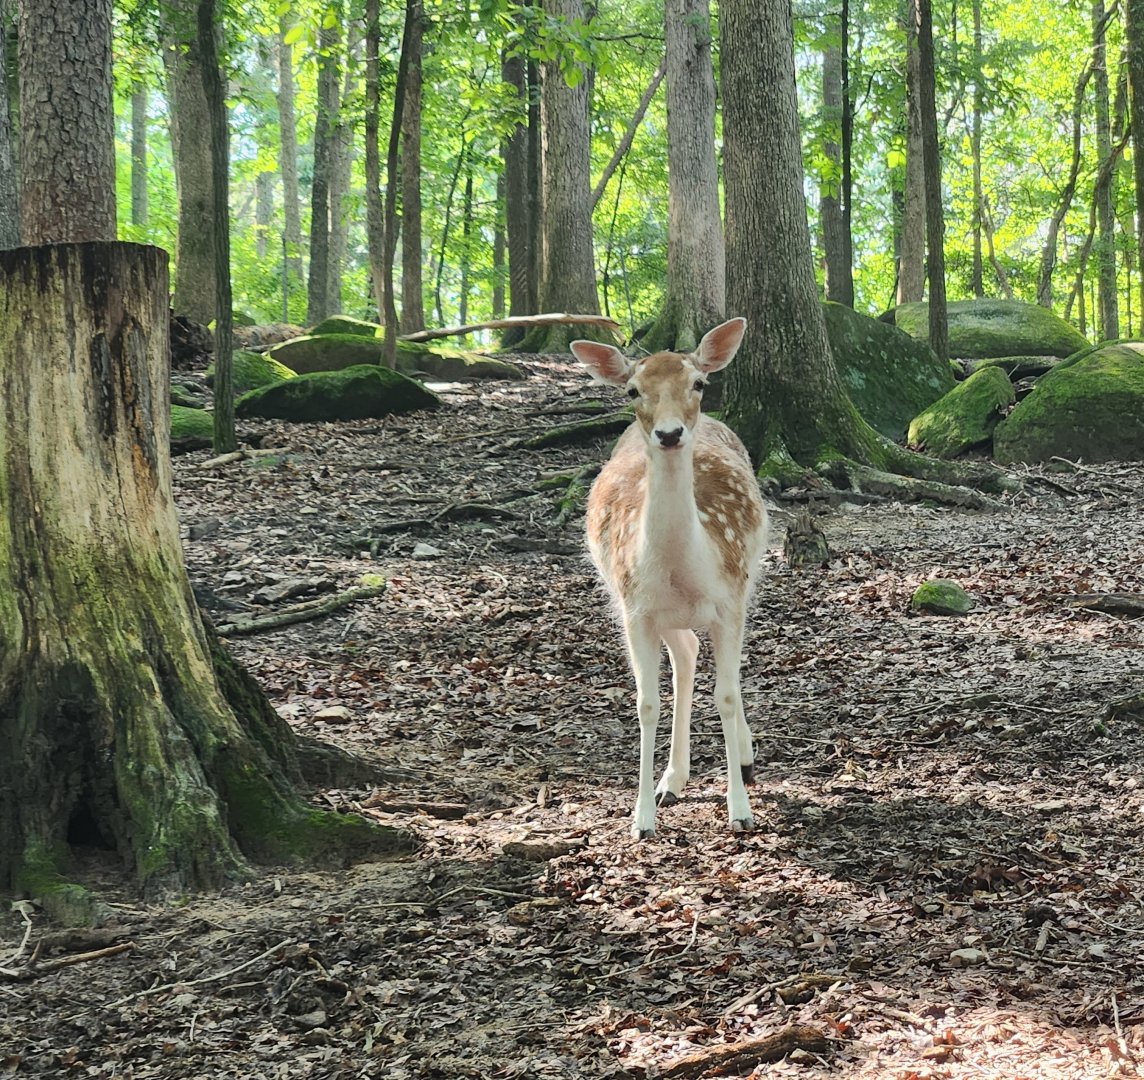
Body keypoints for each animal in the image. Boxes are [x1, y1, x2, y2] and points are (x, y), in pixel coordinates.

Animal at [570, 318, 768, 839]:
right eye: (632, 389)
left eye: (698, 383)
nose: (670, 433)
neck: (683, 569)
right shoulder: (635, 611)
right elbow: (646, 703)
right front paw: (641, 819)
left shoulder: (729, 601)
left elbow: (726, 694)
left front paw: (740, 810)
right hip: (661, 613)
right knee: (687, 654)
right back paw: (672, 779)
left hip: (746, 580)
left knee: (714, 665)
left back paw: (742, 757)